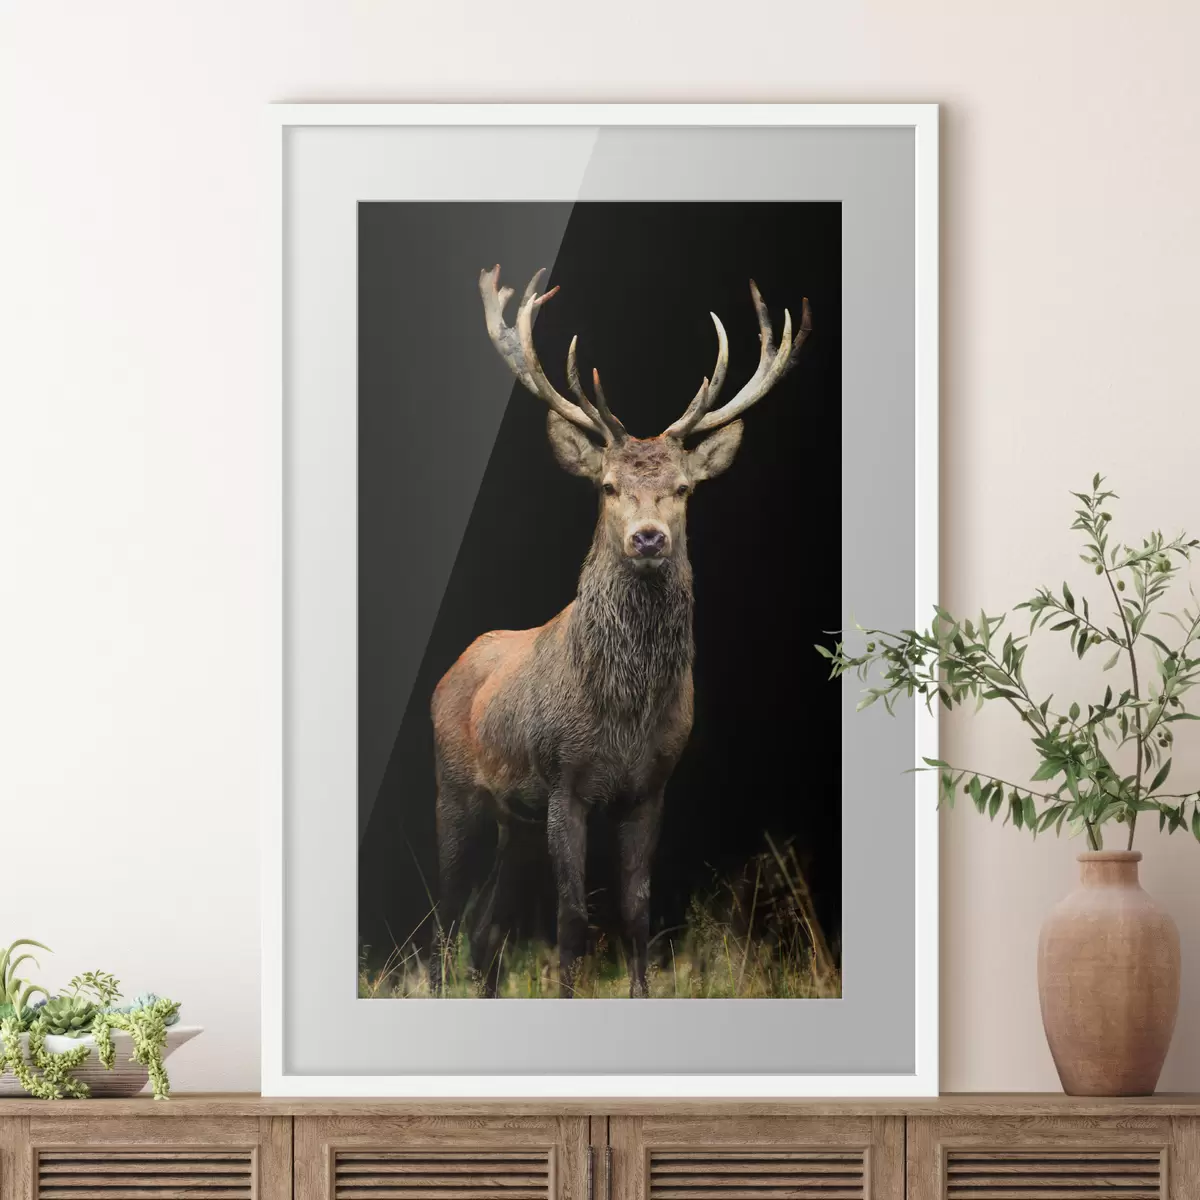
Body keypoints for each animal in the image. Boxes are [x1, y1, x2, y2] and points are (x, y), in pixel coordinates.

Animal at [430, 265, 811, 998]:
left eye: (685, 489)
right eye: (607, 486)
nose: (648, 537)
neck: (623, 715)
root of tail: (450, 670)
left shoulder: (651, 786)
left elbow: (637, 912)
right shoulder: (564, 780)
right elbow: (573, 918)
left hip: (516, 821)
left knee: (485, 929)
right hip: (455, 789)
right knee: (444, 913)